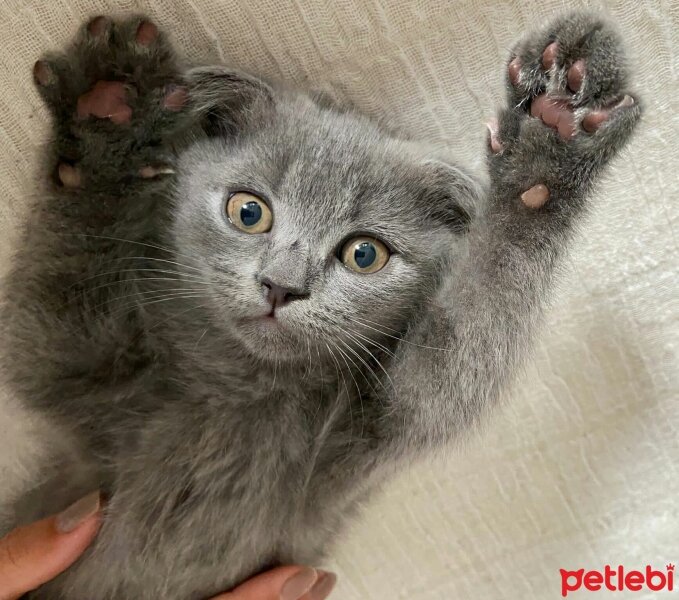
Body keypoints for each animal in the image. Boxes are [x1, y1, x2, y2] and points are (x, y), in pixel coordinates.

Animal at [0, 10, 640, 600]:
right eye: (248, 211)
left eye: (364, 254)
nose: (281, 286)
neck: (245, 393)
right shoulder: (81, 377)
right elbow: (55, 293)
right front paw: (108, 106)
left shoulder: (370, 436)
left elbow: (464, 346)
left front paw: (551, 136)